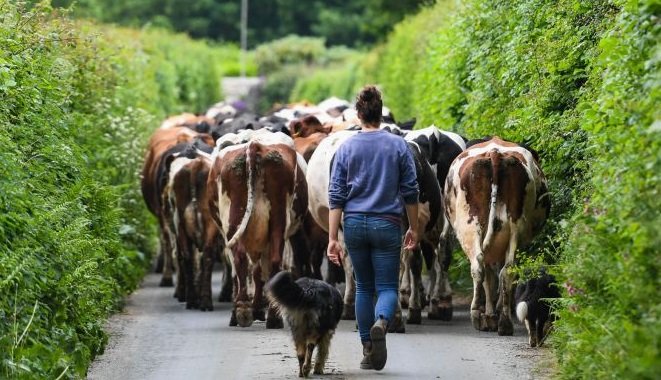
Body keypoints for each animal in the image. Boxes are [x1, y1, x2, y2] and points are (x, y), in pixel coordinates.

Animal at [206, 129, 310, 328]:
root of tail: (254, 145)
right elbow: (259, 272)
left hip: (235, 220)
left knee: (241, 260)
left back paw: (244, 311)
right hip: (275, 219)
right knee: (272, 260)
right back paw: (271, 315)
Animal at [446, 137, 548, 336]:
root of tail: (494, 152)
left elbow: (489, 277)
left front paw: (490, 313)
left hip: (471, 227)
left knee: (480, 266)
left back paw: (479, 315)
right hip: (513, 226)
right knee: (507, 270)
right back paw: (504, 322)